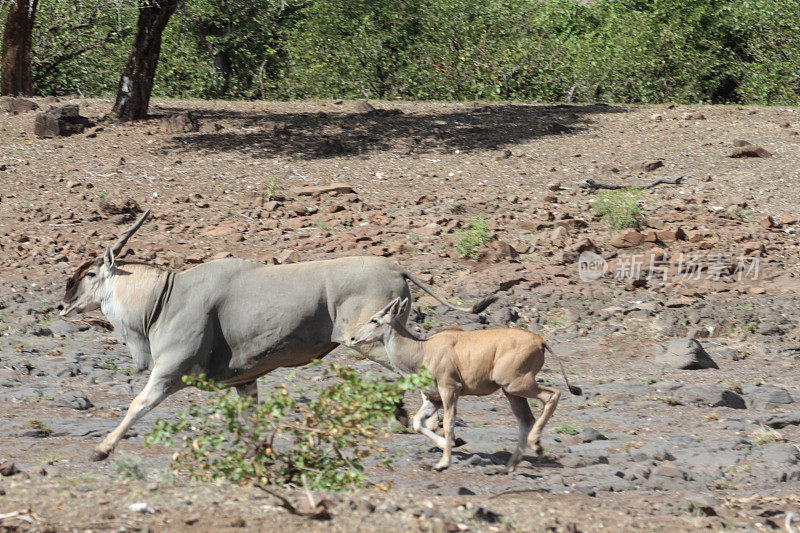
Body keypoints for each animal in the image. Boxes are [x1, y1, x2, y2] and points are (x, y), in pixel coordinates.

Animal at [350, 298, 580, 472]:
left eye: (374, 319)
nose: (353, 338)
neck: (422, 351)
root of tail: (540, 341)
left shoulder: (449, 389)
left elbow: (448, 422)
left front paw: (444, 462)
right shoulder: (433, 398)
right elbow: (418, 423)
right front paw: (449, 444)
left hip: (517, 384)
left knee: (552, 395)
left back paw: (537, 445)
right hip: (511, 392)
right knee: (525, 420)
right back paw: (510, 466)